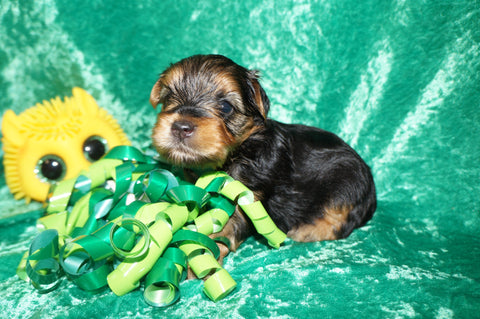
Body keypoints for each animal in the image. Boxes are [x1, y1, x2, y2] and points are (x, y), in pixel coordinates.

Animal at [150, 53, 376, 255]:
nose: (181, 127)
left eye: (225, 106)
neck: (238, 152)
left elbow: (228, 226)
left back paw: (308, 230)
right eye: (169, 98)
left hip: (347, 184)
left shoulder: (250, 194)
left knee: (341, 220)